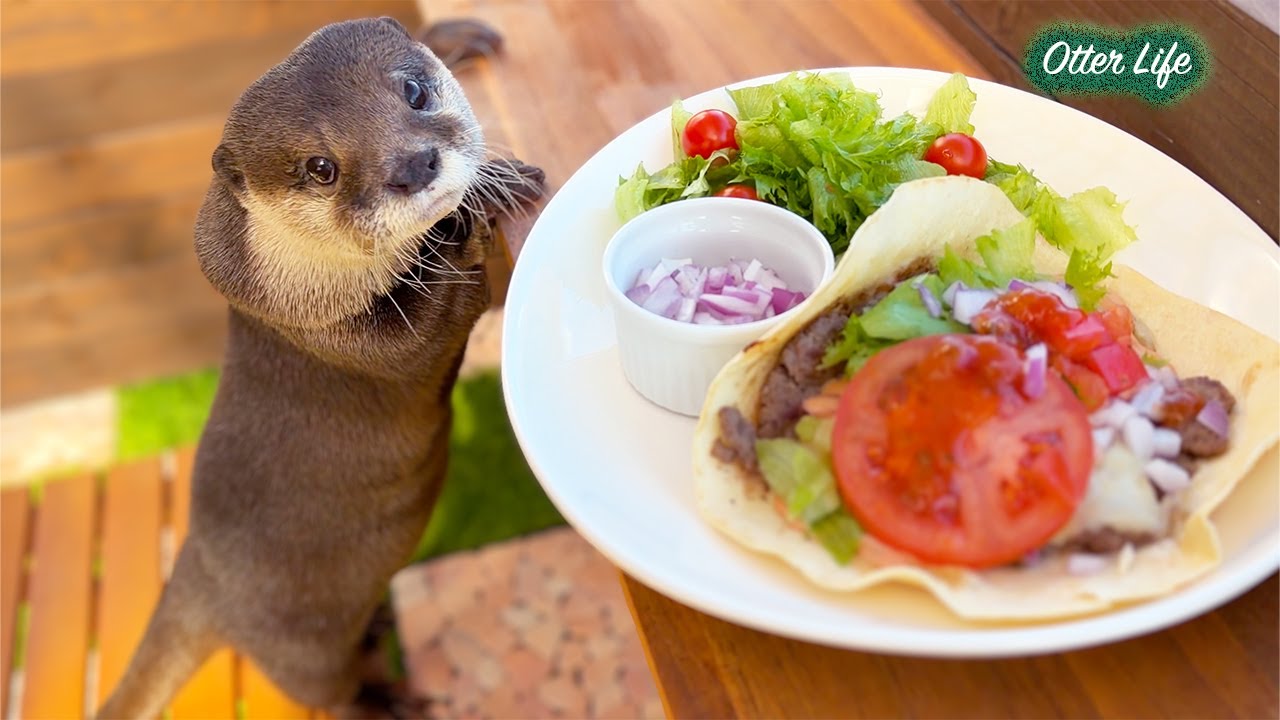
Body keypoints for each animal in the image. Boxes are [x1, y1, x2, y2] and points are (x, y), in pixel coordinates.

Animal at [97, 17, 544, 719]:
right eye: (321, 168)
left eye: (414, 91)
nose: (413, 164)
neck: (292, 282)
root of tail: (196, 574)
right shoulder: (326, 331)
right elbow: (431, 328)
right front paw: (478, 208)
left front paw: (453, 36)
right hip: (298, 649)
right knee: (330, 693)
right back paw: (389, 701)